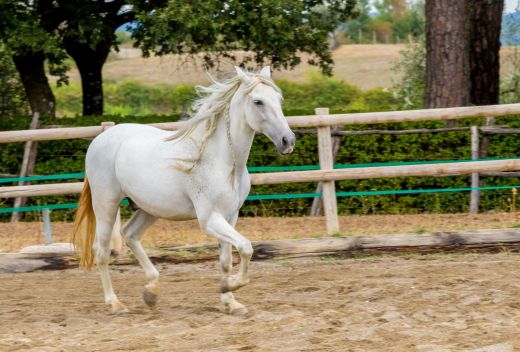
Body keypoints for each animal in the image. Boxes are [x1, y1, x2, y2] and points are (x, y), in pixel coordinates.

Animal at [71, 66, 294, 316]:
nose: (288, 141)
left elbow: (226, 260)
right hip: (106, 205)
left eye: (279, 99)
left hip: (150, 208)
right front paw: (231, 286)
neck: (219, 160)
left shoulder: (230, 216)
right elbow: (246, 248)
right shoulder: (209, 219)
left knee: (130, 234)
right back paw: (115, 303)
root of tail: (99, 140)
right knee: (101, 251)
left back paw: (151, 291)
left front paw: (231, 302)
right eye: (258, 101)